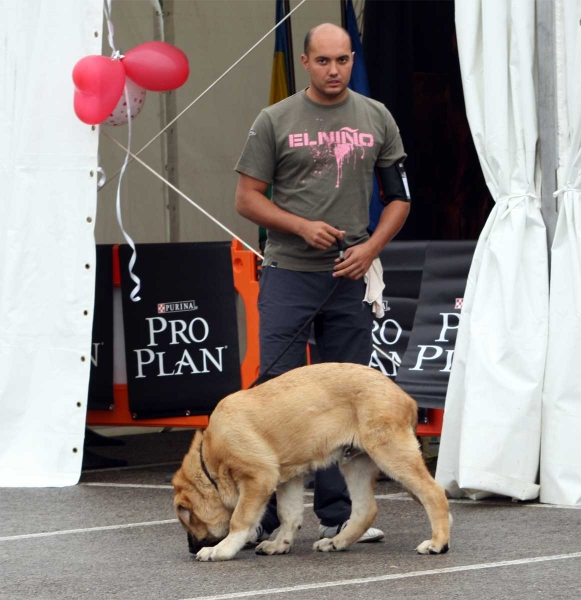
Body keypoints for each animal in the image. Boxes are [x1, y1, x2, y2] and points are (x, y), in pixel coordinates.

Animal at [170, 360, 450, 564]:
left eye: (190, 521)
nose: (190, 549)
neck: (209, 460)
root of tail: (406, 396)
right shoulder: (288, 478)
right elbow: (288, 515)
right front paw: (279, 544)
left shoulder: (258, 478)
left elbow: (239, 519)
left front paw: (222, 550)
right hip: (356, 462)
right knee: (365, 509)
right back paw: (337, 542)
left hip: (390, 453)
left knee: (433, 492)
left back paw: (437, 543)